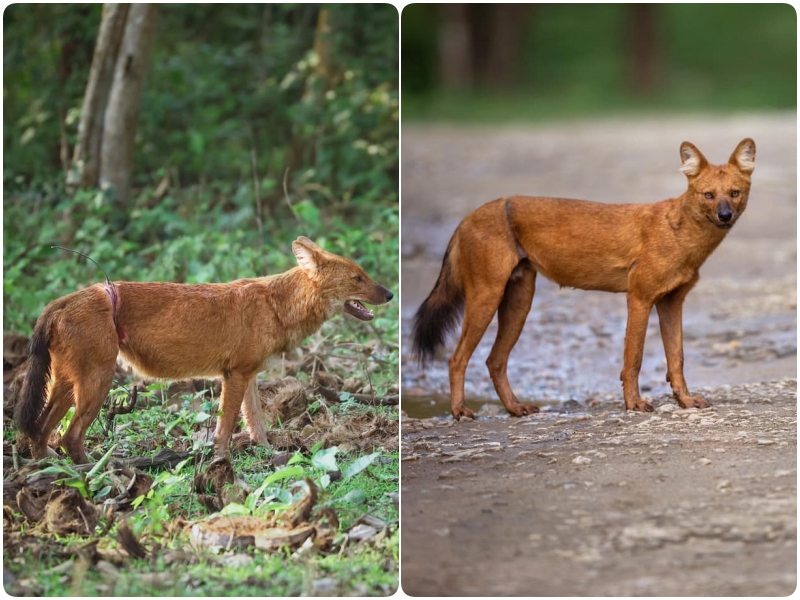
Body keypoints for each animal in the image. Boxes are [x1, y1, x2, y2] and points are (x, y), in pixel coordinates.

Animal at [14, 237, 394, 462]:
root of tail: (63, 300)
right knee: (69, 435)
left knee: (40, 428)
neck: (277, 306)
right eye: (358, 278)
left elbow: (257, 423)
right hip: (97, 382)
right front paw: (221, 462)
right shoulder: (235, 375)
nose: (391, 293)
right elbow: (226, 426)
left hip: (67, 384)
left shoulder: (248, 375)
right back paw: (91, 471)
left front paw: (270, 456)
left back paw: (50, 470)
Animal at [412, 137, 756, 418]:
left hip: (519, 302)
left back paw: (515, 408)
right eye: (708, 195)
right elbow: (634, 357)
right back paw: (459, 411)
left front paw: (685, 401)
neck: (682, 235)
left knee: (494, 360)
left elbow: (677, 358)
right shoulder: (640, 297)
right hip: (487, 296)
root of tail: (466, 218)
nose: (725, 215)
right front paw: (635, 404)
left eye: (734, 193)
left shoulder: (672, 302)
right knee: (457, 358)